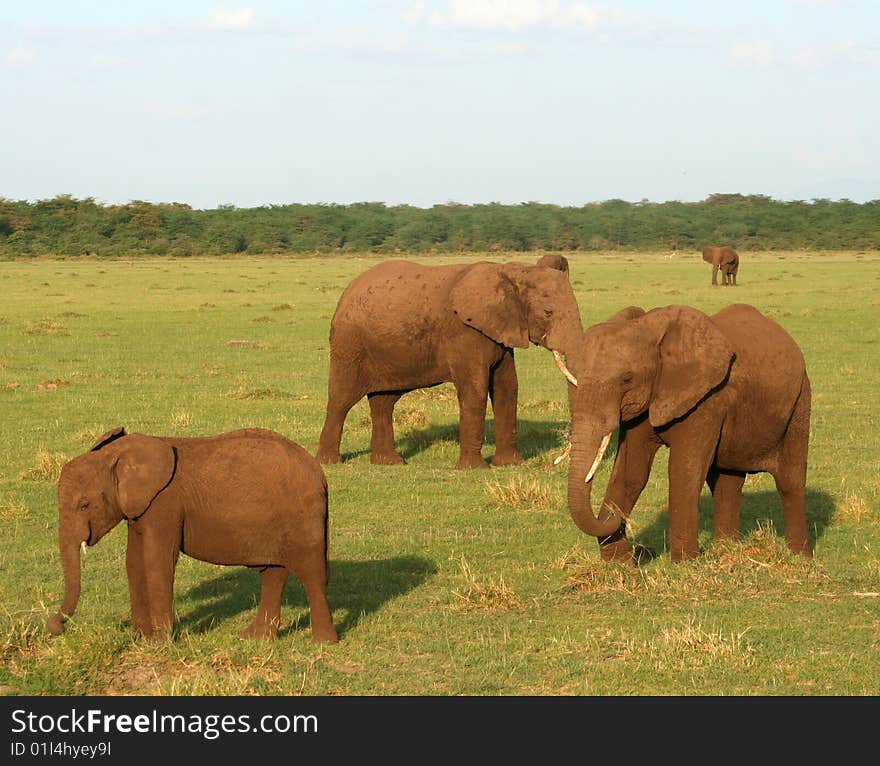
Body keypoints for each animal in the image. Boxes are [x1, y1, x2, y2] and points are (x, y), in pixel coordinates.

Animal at [47, 428, 340, 644]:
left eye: (84, 505)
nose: (55, 626)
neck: (119, 453)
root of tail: (319, 473)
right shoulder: (140, 510)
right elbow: (134, 562)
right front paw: (139, 639)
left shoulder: (164, 504)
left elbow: (157, 561)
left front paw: (160, 644)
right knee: (273, 573)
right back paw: (254, 638)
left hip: (303, 518)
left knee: (311, 575)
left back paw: (322, 643)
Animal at [314, 255, 576, 468]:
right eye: (548, 312)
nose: (558, 460)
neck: (509, 273)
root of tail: (346, 294)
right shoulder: (464, 331)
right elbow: (475, 390)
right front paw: (474, 469)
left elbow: (507, 388)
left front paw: (510, 465)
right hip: (349, 344)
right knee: (341, 399)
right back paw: (329, 462)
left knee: (384, 402)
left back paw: (390, 462)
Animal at [556, 304, 812, 564]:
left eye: (627, 378)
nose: (618, 516)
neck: (650, 328)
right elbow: (632, 473)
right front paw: (619, 563)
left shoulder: (707, 400)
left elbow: (684, 470)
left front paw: (685, 563)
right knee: (726, 483)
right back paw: (726, 550)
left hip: (800, 400)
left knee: (789, 480)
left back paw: (799, 557)